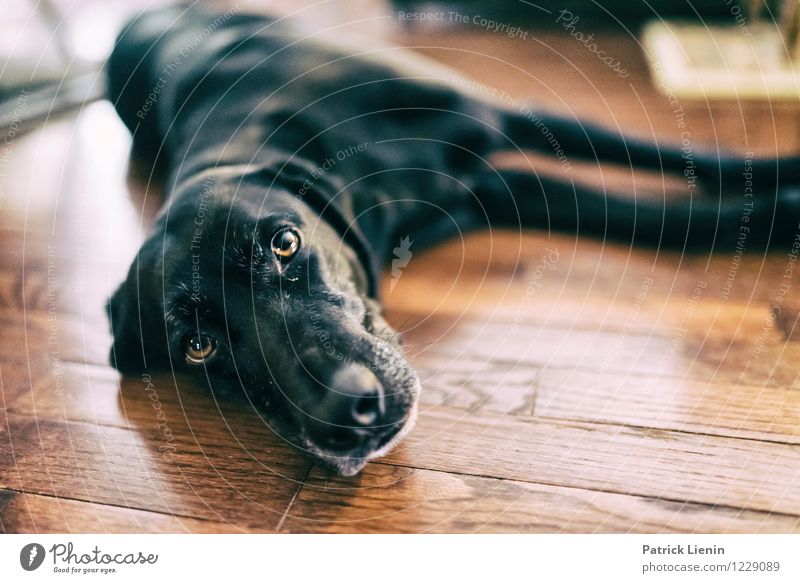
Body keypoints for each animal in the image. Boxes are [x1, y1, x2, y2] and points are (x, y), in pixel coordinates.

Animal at [106, 4, 800, 476]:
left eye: (283, 244)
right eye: (198, 348)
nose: (345, 414)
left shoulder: (504, 116)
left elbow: (675, 159)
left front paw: (782, 181)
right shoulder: (495, 188)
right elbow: (653, 217)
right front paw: (779, 211)